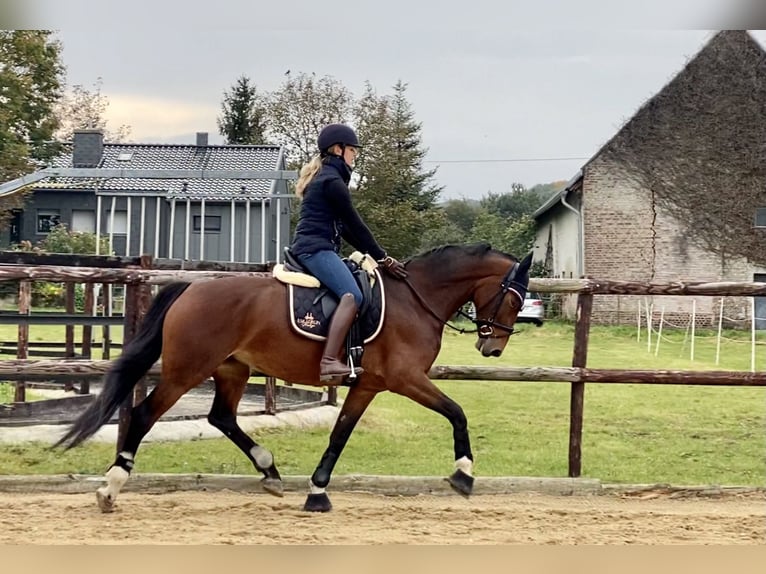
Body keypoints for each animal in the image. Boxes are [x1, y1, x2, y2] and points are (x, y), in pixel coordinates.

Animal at [55, 243, 536, 512]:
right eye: (515, 299)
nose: (492, 348)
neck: (416, 299)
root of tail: (191, 287)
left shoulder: (369, 384)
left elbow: (340, 434)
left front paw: (317, 492)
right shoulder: (403, 378)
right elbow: (457, 412)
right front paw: (463, 475)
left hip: (232, 368)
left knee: (222, 418)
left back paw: (269, 471)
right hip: (187, 370)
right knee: (143, 415)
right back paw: (111, 488)